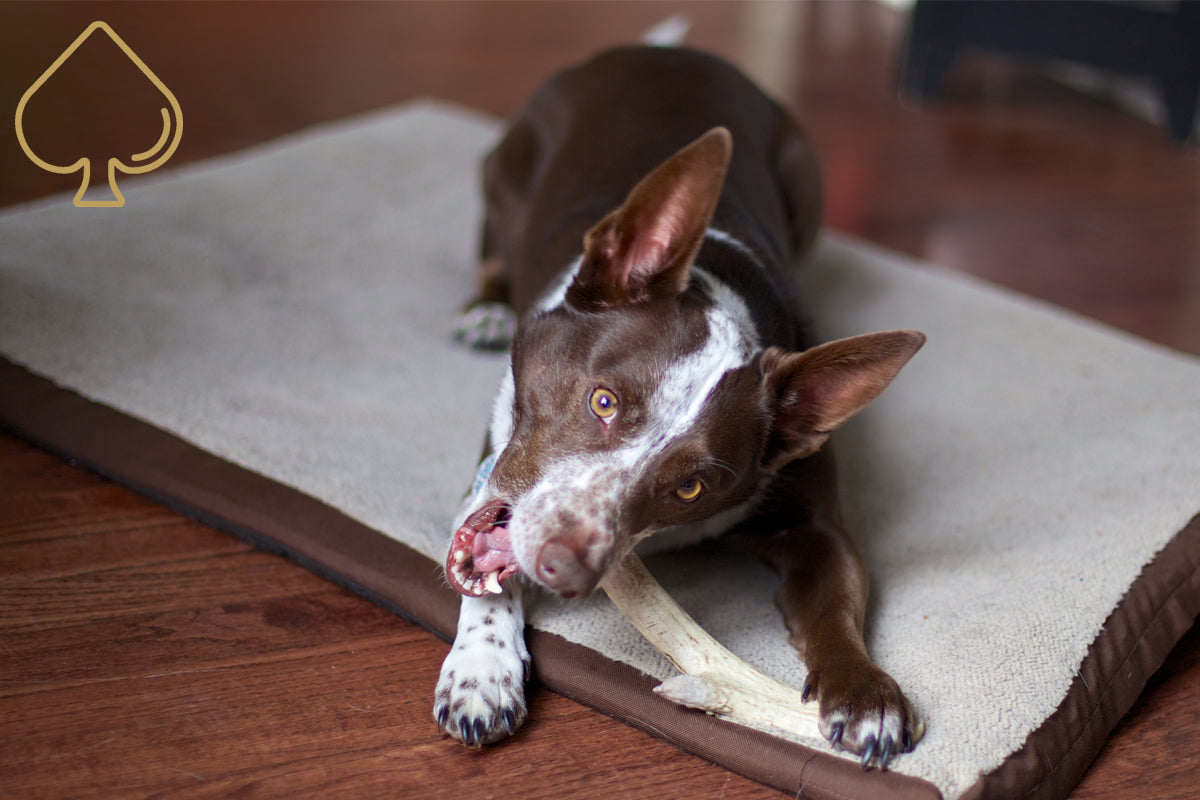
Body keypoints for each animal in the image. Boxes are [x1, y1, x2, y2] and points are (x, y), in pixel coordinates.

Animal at [436, 47, 921, 772]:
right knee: (493, 247)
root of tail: (663, 51)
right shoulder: (494, 466)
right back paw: (487, 308)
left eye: (691, 486)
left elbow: (836, 601)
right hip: (506, 177)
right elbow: (486, 578)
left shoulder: (814, 527)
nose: (562, 566)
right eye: (602, 401)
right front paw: (480, 672)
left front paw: (865, 694)